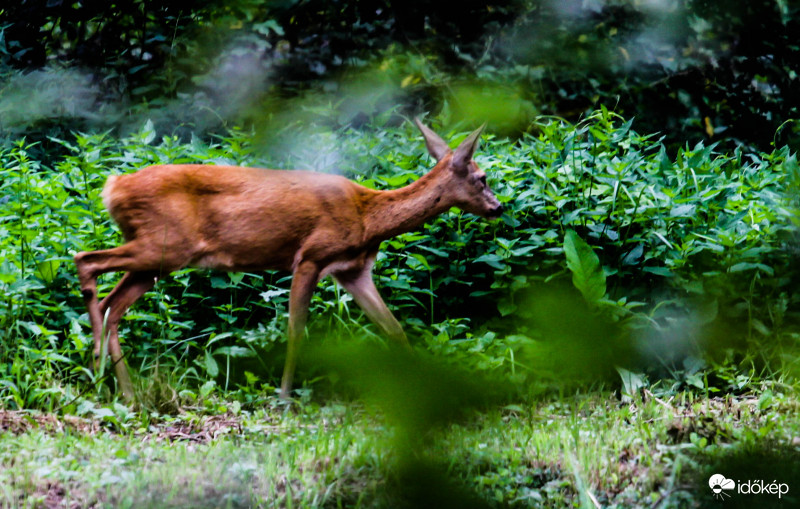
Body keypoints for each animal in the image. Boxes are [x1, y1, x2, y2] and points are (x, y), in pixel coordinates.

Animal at [73, 117, 500, 398]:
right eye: (481, 179)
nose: (498, 207)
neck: (367, 218)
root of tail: (112, 187)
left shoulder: (353, 271)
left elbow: (392, 327)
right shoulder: (310, 257)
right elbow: (296, 328)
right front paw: (284, 395)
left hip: (157, 260)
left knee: (113, 305)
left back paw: (123, 391)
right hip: (164, 245)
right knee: (86, 261)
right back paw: (96, 375)